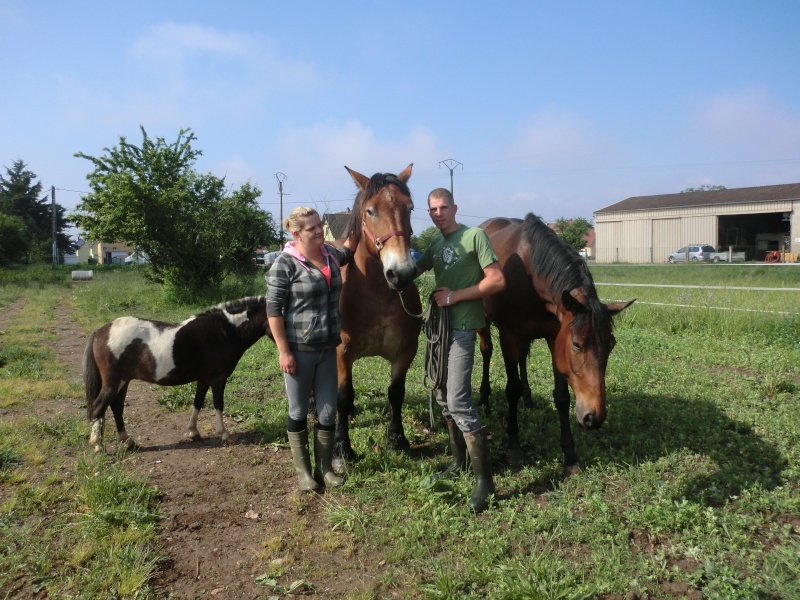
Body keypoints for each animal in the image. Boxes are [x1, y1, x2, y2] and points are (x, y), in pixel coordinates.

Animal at [84, 298, 270, 452]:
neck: (224, 331)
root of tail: (99, 333)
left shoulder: (204, 380)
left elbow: (198, 402)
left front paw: (193, 432)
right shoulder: (218, 378)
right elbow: (218, 404)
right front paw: (224, 433)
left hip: (124, 381)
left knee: (116, 407)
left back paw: (127, 441)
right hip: (114, 382)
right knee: (99, 407)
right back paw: (98, 445)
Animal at [334, 163, 422, 460]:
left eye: (410, 208)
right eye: (371, 211)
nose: (401, 273)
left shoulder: (406, 350)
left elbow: (396, 392)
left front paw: (397, 438)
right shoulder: (341, 352)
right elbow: (342, 396)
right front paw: (342, 447)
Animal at [478, 216, 636, 474]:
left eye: (611, 345)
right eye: (577, 345)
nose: (594, 417)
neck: (529, 272)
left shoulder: (554, 337)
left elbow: (561, 397)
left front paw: (570, 455)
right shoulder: (509, 335)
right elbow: (511, 390)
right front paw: (514, 446)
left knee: (522, 357)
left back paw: (529, 398)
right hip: (483, 322)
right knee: (486, 352)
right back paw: (484, 398)